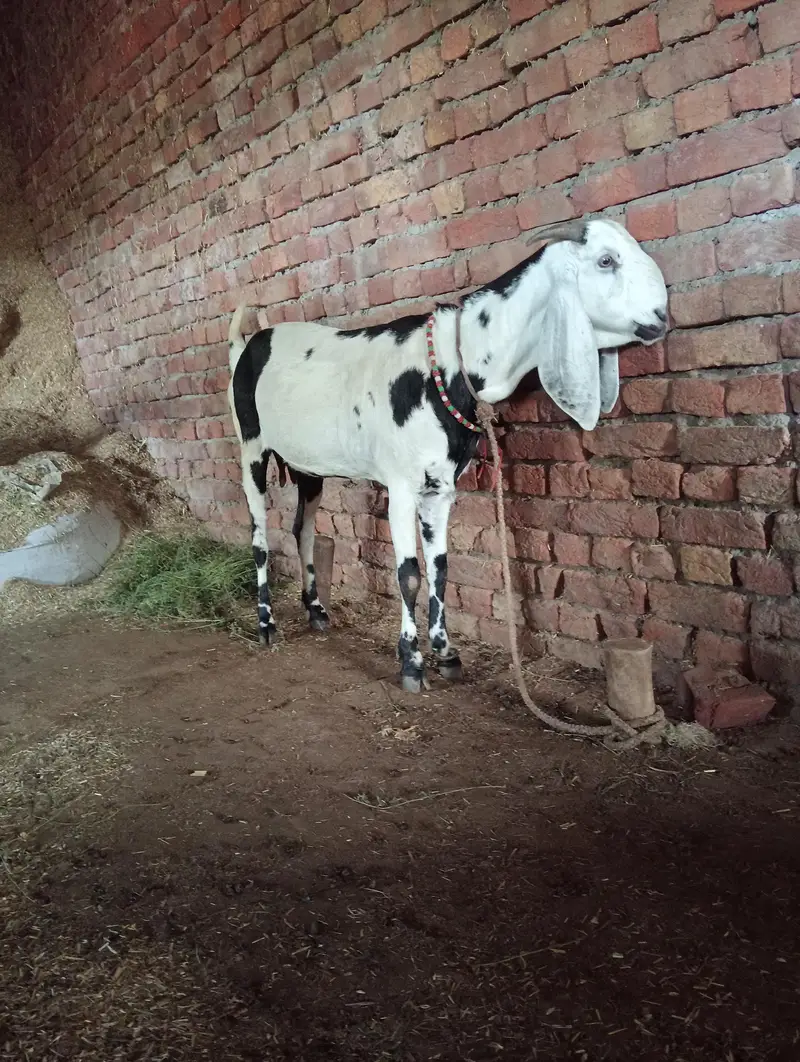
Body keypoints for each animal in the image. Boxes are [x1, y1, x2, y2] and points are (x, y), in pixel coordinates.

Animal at [227, 216, 669, 691]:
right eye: (605, 260)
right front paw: (411, 661)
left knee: (302, 529)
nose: (662, 317)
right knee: (259, 538)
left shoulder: (440, 487)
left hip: (307, 465)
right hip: (251, 447)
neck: (452, 363)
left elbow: (440, 567)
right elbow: (409, 574)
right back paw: (266, 624)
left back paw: (316, 610)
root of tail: (247, 346)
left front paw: (445, 652)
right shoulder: (401, 485)